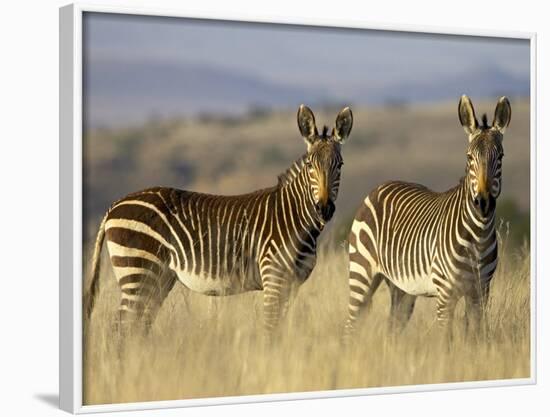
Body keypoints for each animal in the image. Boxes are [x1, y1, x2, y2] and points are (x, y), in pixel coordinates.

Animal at [84, 103, 356, 338]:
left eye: (340, 165)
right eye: (310, 165)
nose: (324, 209)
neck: (294, 218)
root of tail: (114, 205)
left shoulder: (293, 284)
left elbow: (280, 329)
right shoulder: (274, 277)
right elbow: (270, 329)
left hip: (157, 279)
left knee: (137, 328)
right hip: (138, 272)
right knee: (121, 330)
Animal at [344, 95, 512, 342]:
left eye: (500, 157)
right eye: (469, 157)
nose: (483, 202)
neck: (478, 236)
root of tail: (378, 187)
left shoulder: (481, 292)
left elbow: (476, 338)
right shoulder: (446, 294)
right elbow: (446, 341)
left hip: (401, 288)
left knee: (393, 327)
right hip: (361, 272)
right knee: (350, 325)